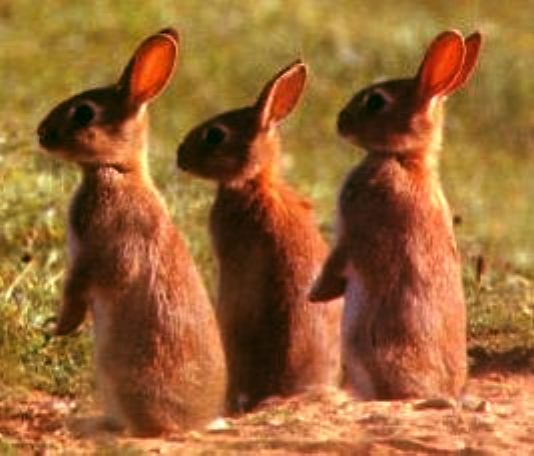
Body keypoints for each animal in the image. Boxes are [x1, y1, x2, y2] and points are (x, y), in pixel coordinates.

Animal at [36, 29, 228, 438]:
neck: (117, 170)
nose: (41, 133)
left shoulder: (95, 252)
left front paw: (59, 329)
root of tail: (197, 422)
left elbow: (79, 288)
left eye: (83, 113)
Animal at [310, 29, 486, 400]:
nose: (340, 121)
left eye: (376, 102)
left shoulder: (355, 228)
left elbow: (339, 261)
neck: (404, 158)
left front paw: (315, 294)